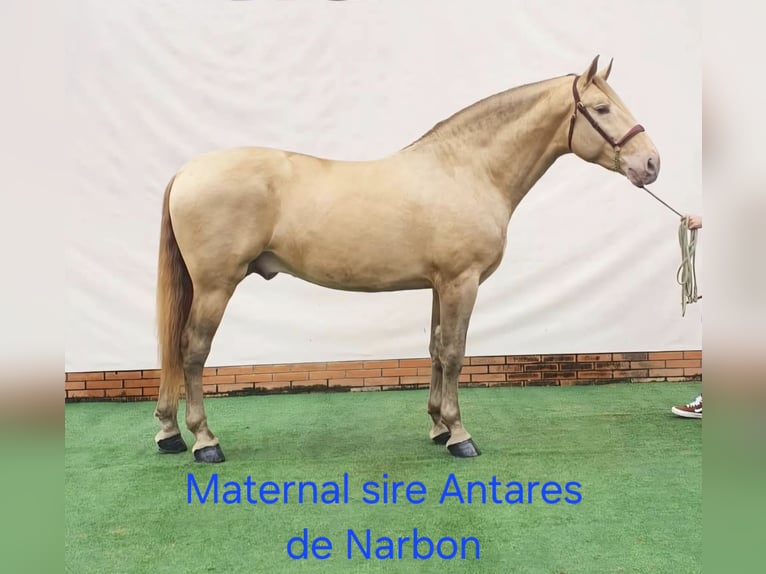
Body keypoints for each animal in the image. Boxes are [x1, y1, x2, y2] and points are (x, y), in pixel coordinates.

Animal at [153, 55, 659, 463]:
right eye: (602, 109)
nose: (652, 163)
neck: (467, 170)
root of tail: (186, 171)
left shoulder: (440, 283)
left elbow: (435, 348)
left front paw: (437, 426)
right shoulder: (461, 280)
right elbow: (455, 352)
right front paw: (460, 435)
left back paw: (169, 433)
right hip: (216, 285)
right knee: (192, 350)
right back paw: (205, 442)